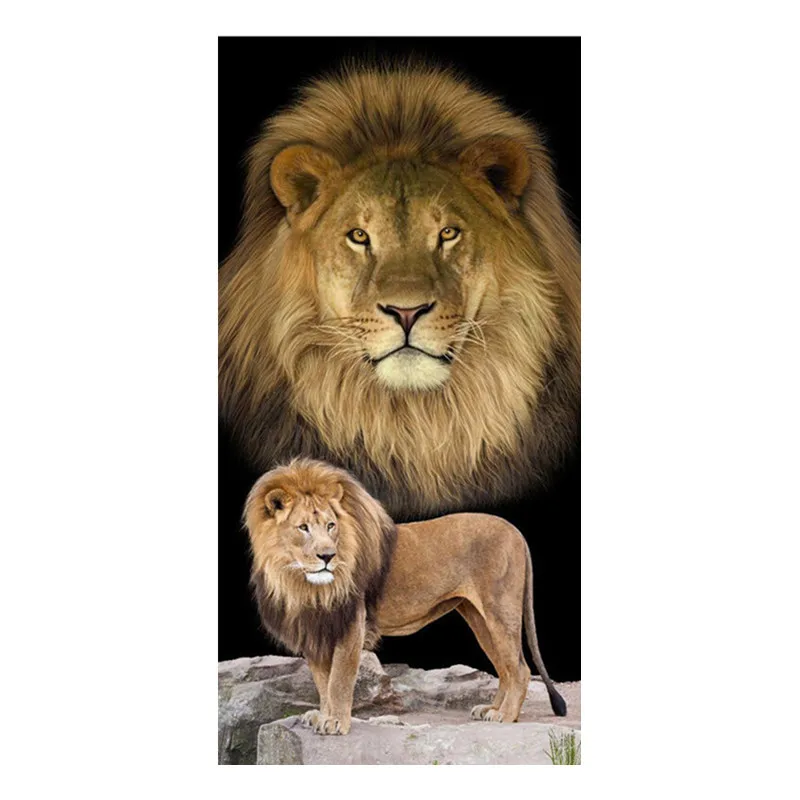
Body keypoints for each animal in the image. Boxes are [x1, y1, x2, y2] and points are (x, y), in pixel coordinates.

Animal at [244, 458, 567, 735]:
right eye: (303, 528)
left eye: (330, 525)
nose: (327, 556)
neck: (302, 583)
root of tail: (516, 531)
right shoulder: (316, 629)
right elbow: (323, 683)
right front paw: (323, 716)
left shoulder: (351, 625)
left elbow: (339, 680)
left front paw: (336, 722)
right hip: (479, 618)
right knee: (505, 667)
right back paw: (491, 709)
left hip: (499, 610)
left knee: (520, 669)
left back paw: (505, 716)